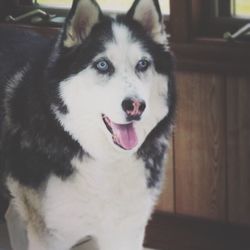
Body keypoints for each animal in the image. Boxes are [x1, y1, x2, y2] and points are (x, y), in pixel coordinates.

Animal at [0, 0, 176, 249]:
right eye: (102, 65)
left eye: (142, 64)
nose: (136, 106)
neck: (104, 160)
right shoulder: (49, 236)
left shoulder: (125, 231)